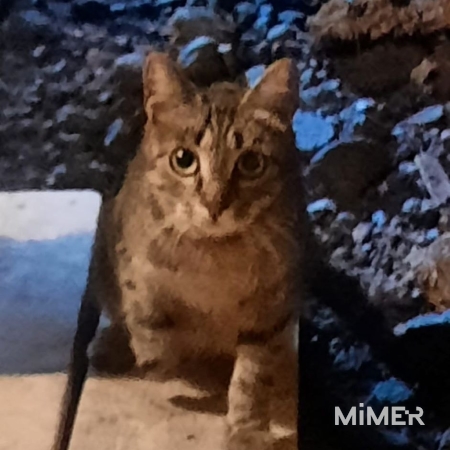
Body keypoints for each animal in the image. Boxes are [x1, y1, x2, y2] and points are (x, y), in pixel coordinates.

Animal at [52, 52, 304, 450]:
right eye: (183, 159)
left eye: (251, 163)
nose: (215, 203)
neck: (214, 256)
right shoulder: (137, 269)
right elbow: (150, 328)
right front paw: (160, 361)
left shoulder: (271, 310)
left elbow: (252, 377)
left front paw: (246, 428)